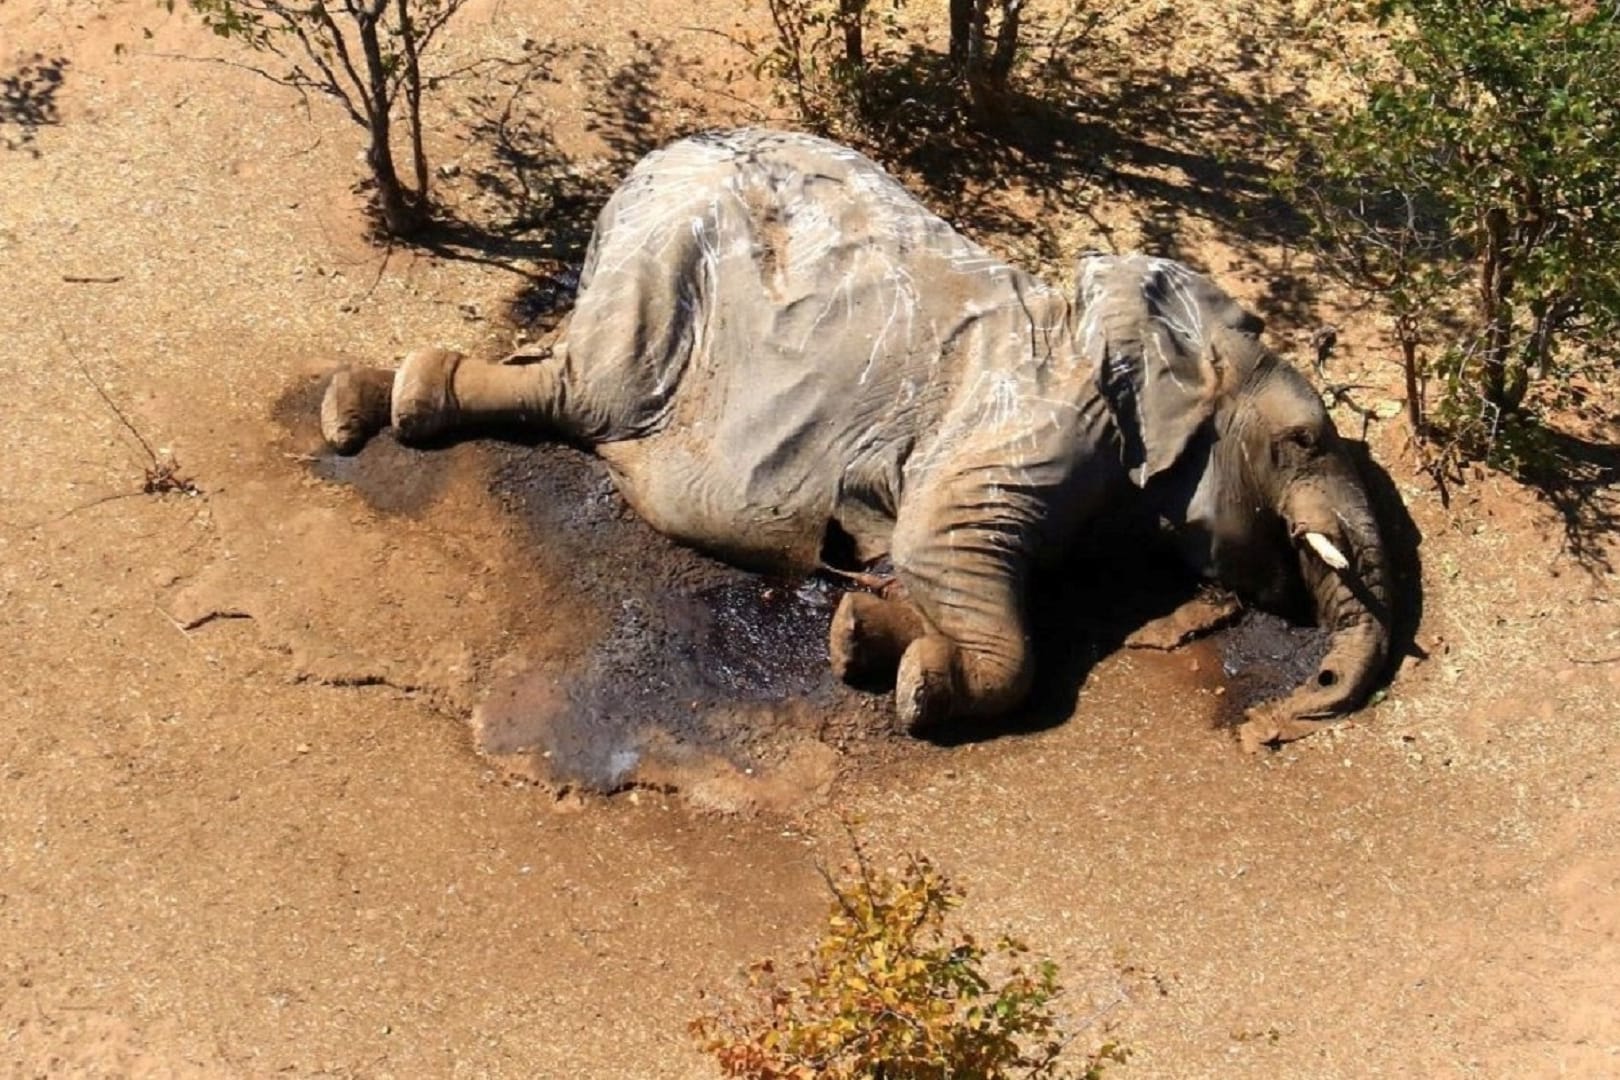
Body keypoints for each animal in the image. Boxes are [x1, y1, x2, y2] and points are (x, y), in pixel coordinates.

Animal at [325, 128, 1393, 751]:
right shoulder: (1033, 424)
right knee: (587, 395)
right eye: (1305, 440)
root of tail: (649, 161)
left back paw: (361, 403)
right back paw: (384, 405)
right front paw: (923, 688)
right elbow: (943, 552)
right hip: (662, 269)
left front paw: (858, 638)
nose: (1276, 726)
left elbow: (928, 566)